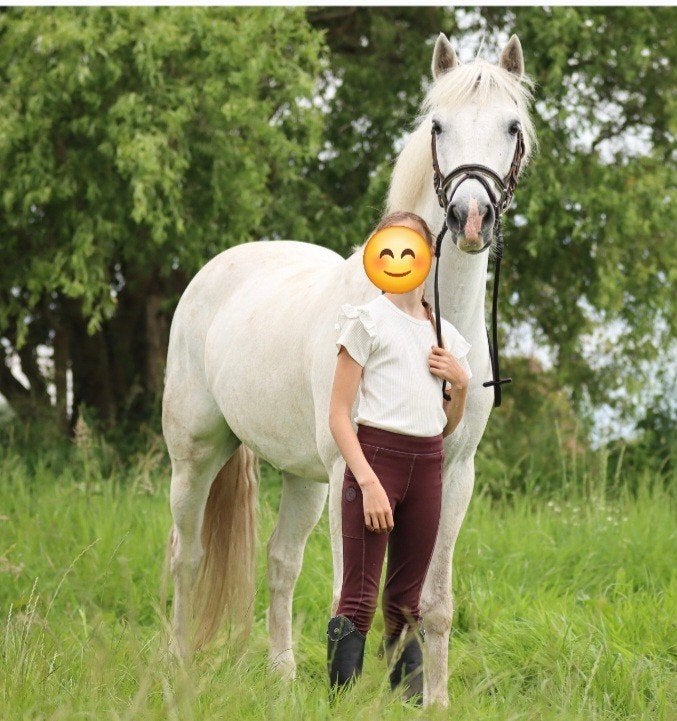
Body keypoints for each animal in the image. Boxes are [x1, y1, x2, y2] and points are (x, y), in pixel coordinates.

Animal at [161, 32, 536, 707]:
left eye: (512, 125)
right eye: (437, 126)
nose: (470, 218)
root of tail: (219, 268)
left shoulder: (454, 475)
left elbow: (431, 602)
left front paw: (433, 699)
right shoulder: (354, 475)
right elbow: (352, 592)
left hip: (304, 478)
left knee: (281, 563)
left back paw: (282, 676)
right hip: (198, 455)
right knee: (189, 555)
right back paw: (179, 666)